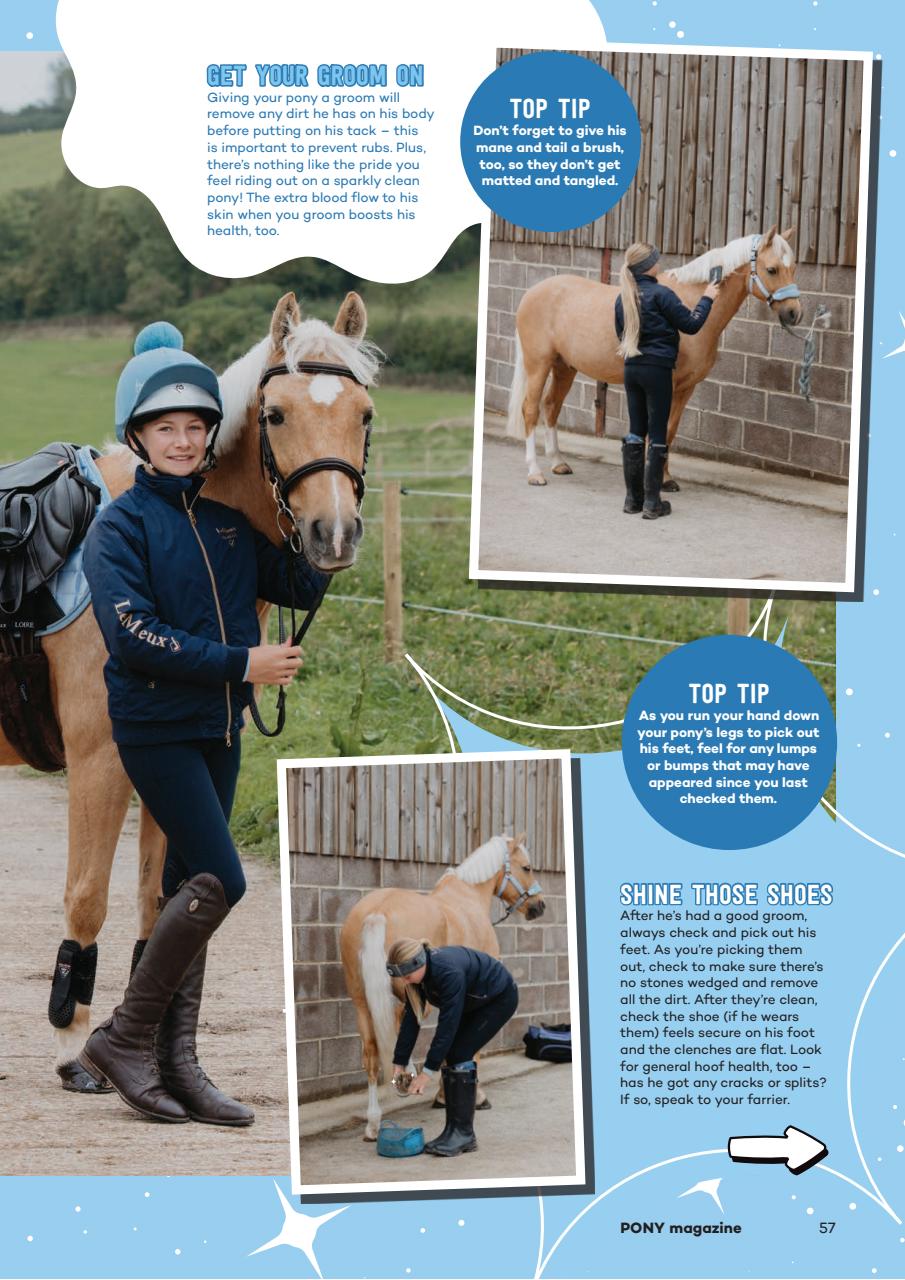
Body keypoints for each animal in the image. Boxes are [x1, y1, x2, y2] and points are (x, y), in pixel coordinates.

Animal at [338, 833, 545, 1141]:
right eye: (527, 867)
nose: (539, 906)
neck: (468, 896)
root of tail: (377, 912)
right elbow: (466, 1046)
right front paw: (472, 1097)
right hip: (402, 998)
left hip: (362, 1001)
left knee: (372, 1054)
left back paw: (374, 1123)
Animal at [506, 225, 803, 488]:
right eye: (772, 269)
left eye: (793, 268)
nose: (794, 313)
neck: (690, 305)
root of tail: (531, 293)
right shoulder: (663, 383)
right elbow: (657, 429)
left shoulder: (685, 388)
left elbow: (669, 430)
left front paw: (667, 479)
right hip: (538, 364)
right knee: (530, 410)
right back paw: (535, 472)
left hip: (565, 366)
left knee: (551, 406)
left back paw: (558, 462)